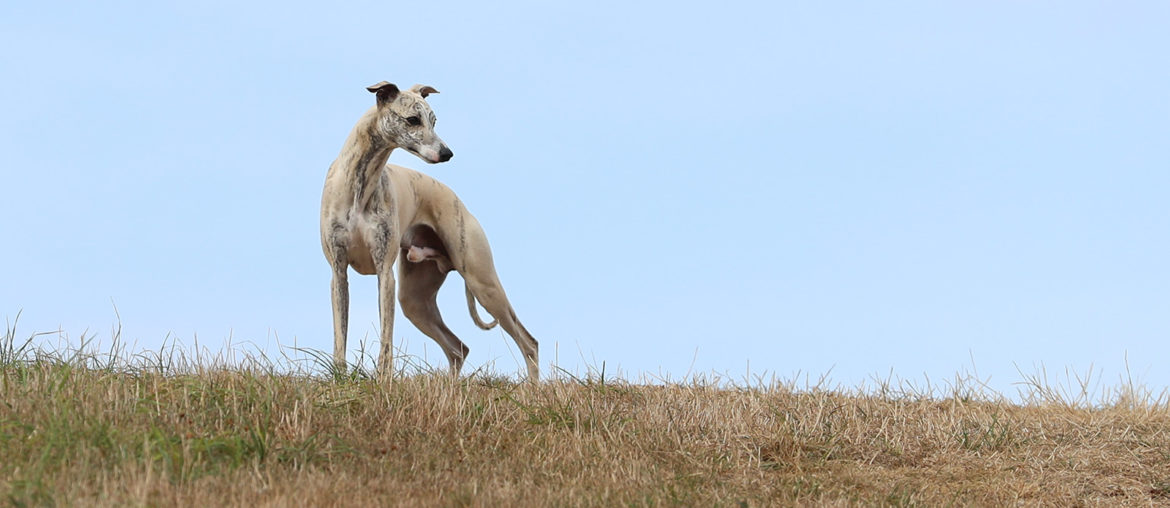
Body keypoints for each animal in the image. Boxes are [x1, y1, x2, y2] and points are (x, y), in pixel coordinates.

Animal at [320, 80, 538, 381]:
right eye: (413, 119)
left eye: (434, 121)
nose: (447, 154)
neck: (360, 185)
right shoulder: (338, 272)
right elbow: (340, 335)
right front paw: (340, 378)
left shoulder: (385, 273)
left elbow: (386, 338)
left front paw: (383, 380)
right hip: (415, 300)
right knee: (459, 348)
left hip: (483, 282)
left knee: (529, 342)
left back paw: (533, 386)